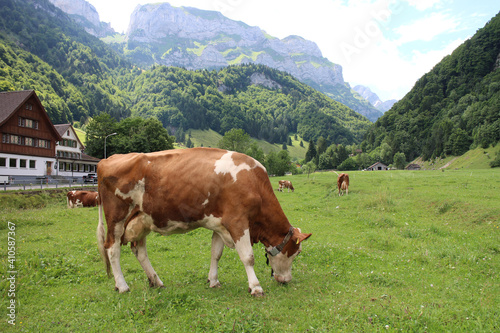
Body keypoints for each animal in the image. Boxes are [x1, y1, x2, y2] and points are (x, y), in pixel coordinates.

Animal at [95, 148, 310, 296]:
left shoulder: (220, 224)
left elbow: (216, 254)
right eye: (296, 252)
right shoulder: (238, 221)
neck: (254, 183)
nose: (286, 280)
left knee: (140, 251)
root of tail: (107, 159)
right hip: (116, 218)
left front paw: (213, 281)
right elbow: (248, 257)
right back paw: (123, 286)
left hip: (142, 220)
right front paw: (256, 287)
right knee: (112, 249)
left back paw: (156, 281)